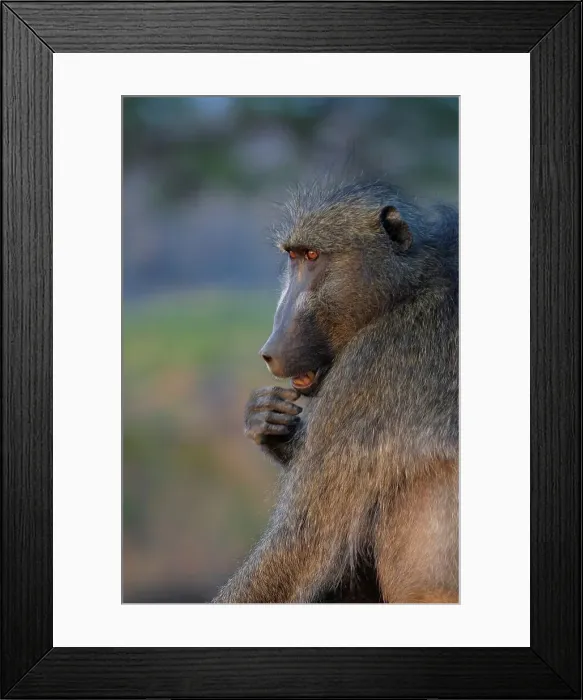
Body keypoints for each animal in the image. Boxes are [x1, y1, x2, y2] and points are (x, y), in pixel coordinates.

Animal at [213, 179, 458, 603]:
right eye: (293, 258)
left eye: (313, 256)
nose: (270, 351)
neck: (410, 290)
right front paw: (265, 419)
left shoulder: (369, 370)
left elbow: (299, 546)